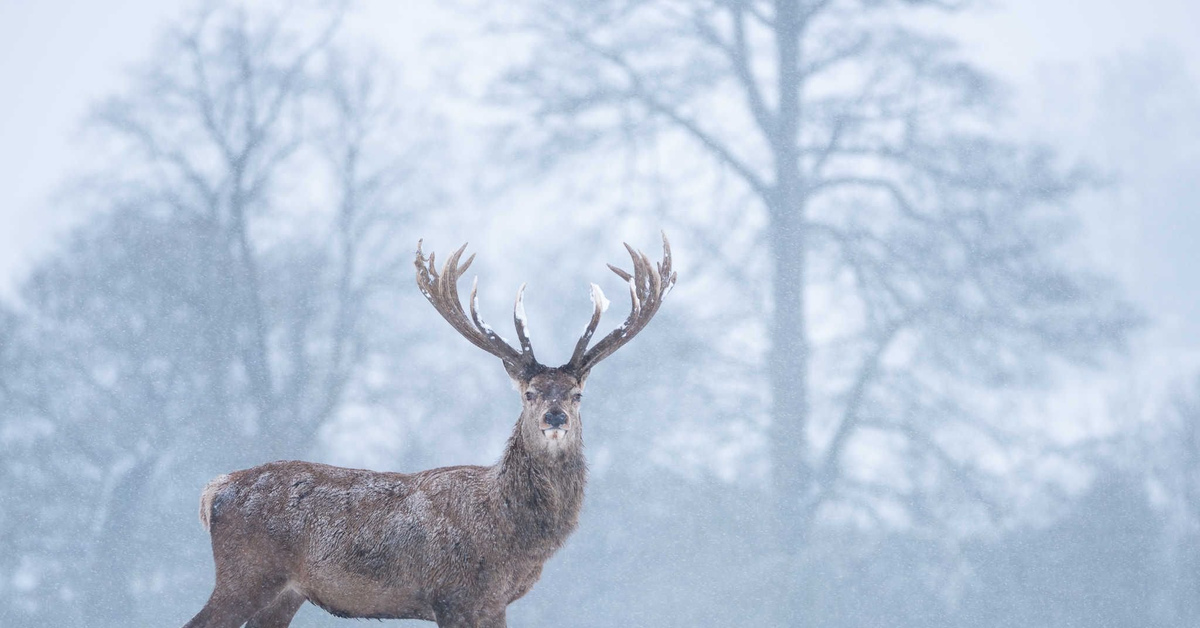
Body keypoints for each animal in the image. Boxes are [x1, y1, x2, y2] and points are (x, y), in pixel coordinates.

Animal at [183, 234, 681, 628]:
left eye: (577, 394)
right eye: (529, 393)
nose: (554, 417)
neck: (512, 533)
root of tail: (215, 491)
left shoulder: (493, 603)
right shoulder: (455, 593)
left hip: (285, 593)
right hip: (247, 573)